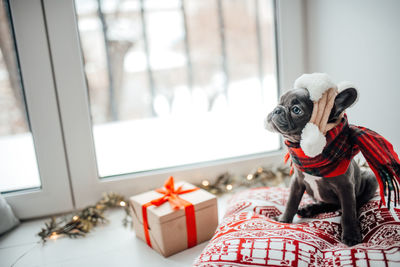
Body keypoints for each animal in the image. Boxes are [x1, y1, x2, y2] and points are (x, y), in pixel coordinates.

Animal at [268, 88, 376, 247]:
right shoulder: (297, 182)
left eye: (296, 110)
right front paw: (284, 219)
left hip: (370, 179)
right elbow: (291, 202)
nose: (277, 109)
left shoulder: (346, 187)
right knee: (328, 204)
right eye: (279, 102)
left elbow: (348, 211)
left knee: (351, 205)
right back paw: (309, 209)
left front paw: (351, 234)